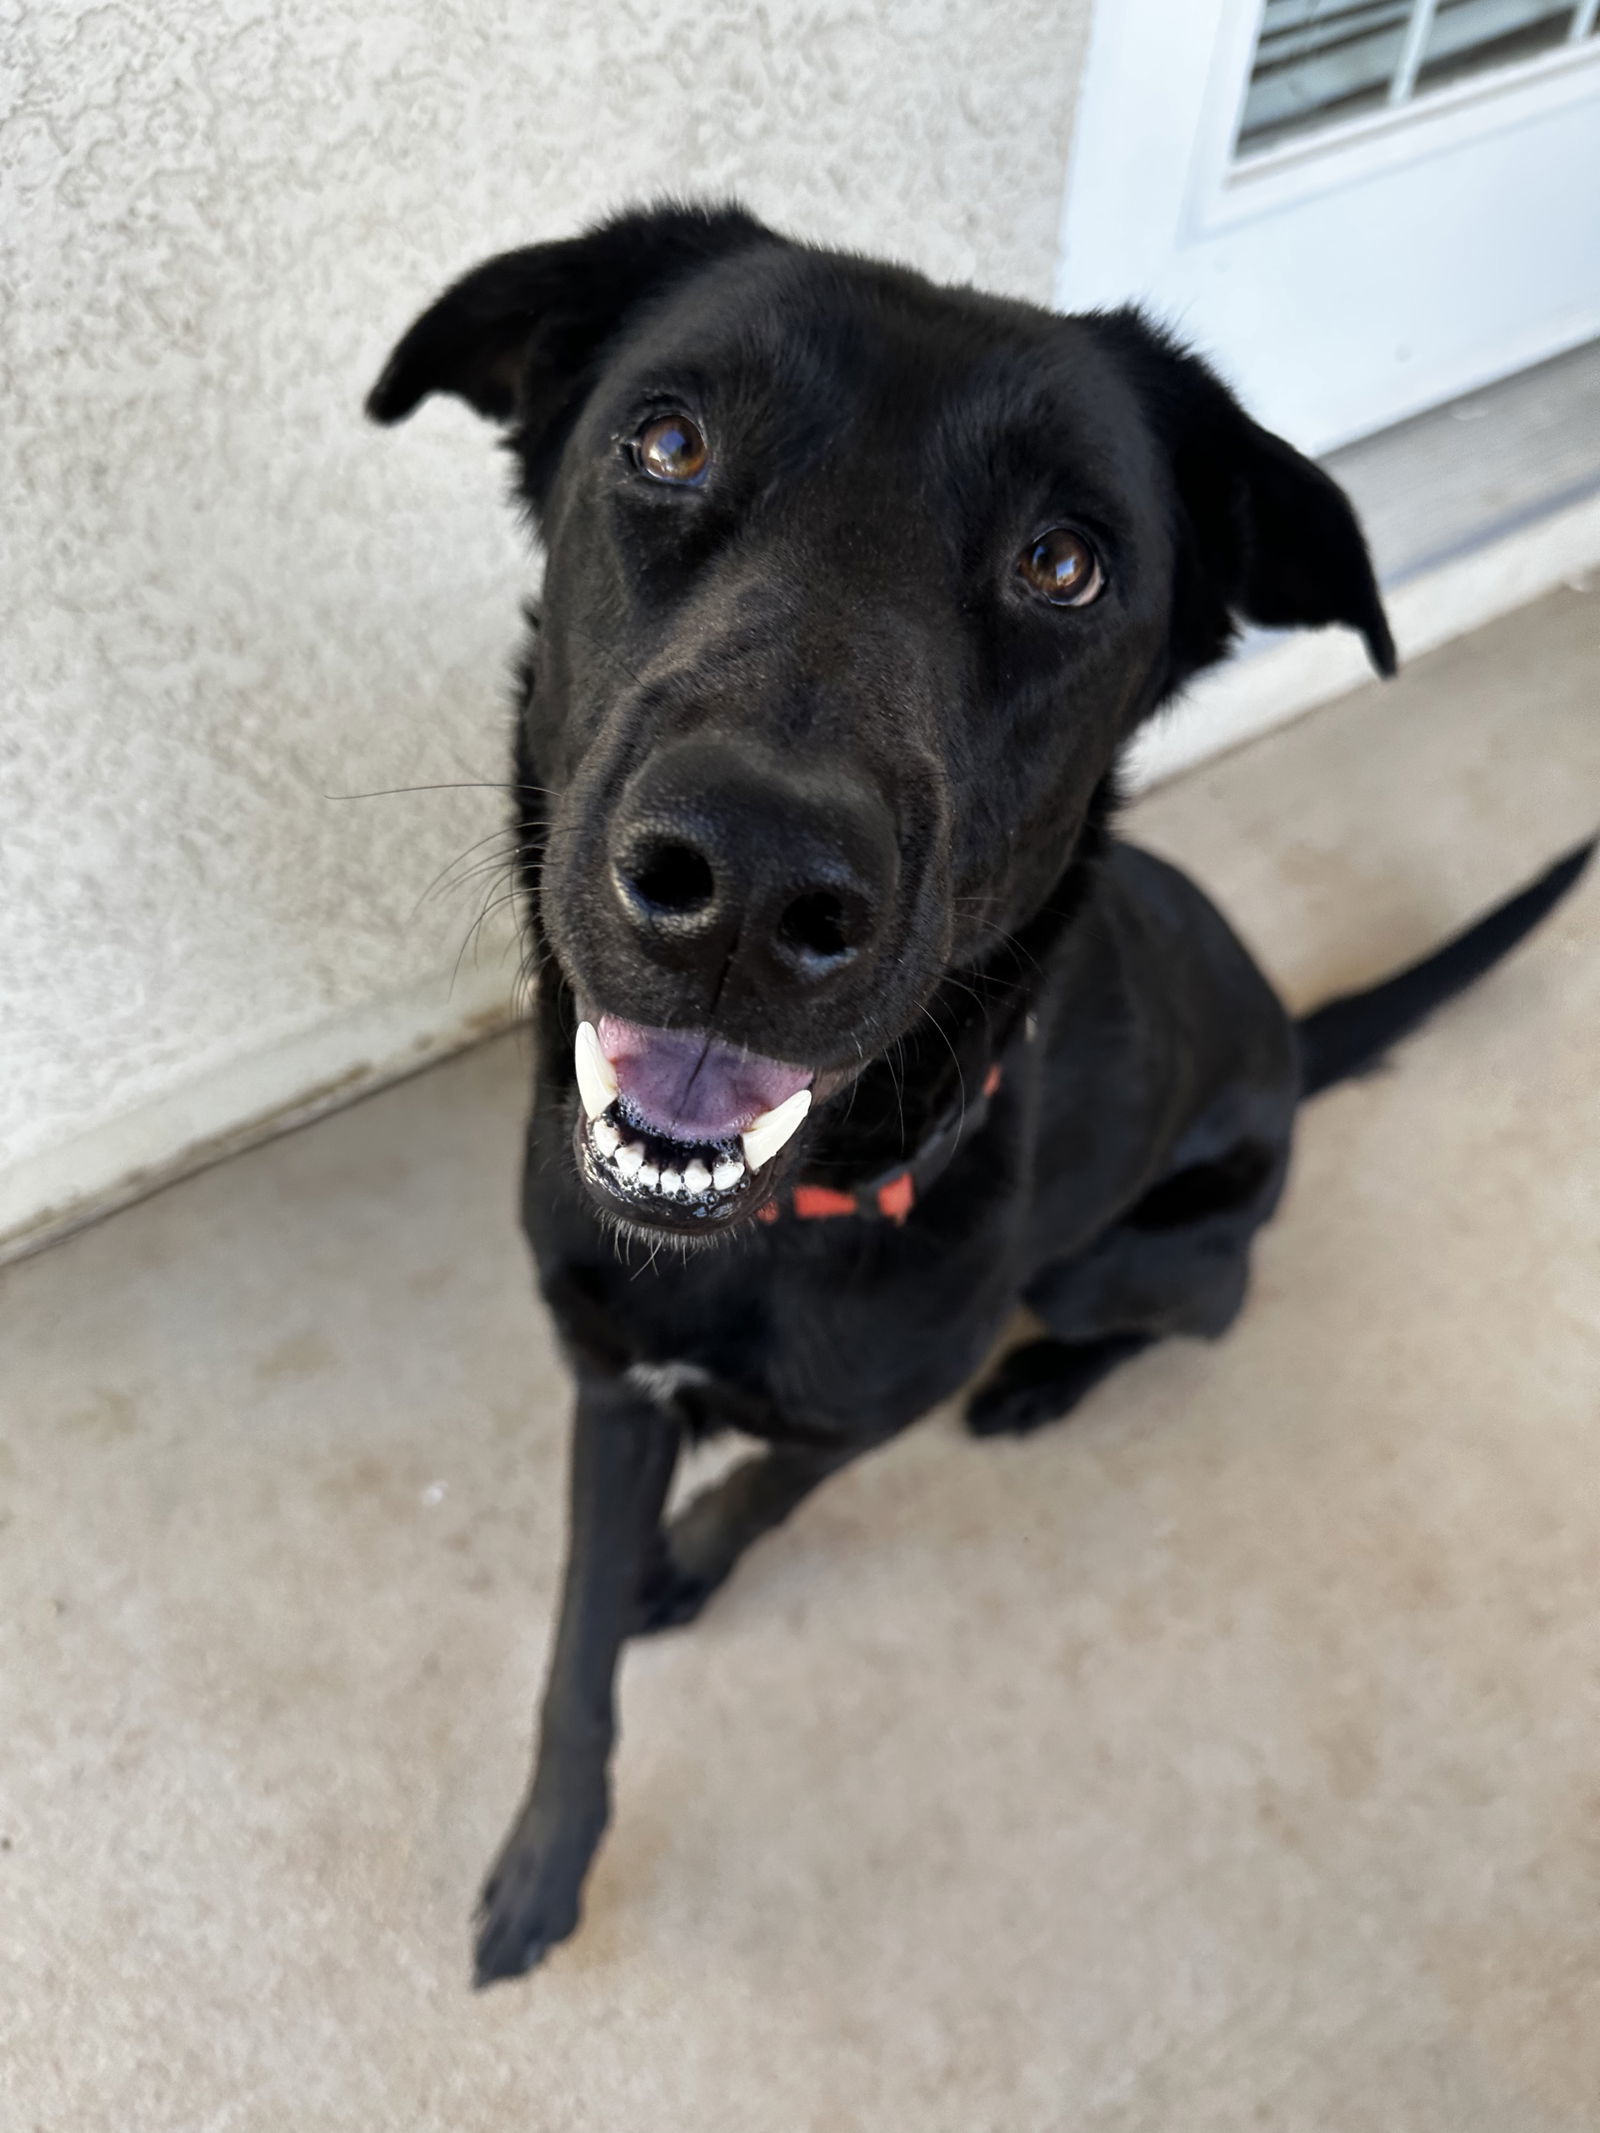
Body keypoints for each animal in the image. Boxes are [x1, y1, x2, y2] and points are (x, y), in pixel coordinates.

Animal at [369, 200, 1595, 1979]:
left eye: (1063, 562)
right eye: (667, 441)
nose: (749, 887)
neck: (775, 1232)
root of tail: (1295, 1040)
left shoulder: (873, 1402)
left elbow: (775, 1482)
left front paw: (695, 1552)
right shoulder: (608, 1385)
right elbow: (573, 1664)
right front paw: (548, 1854)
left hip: (1125, 1254)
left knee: (1204, 1302)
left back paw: (1051, 1382)